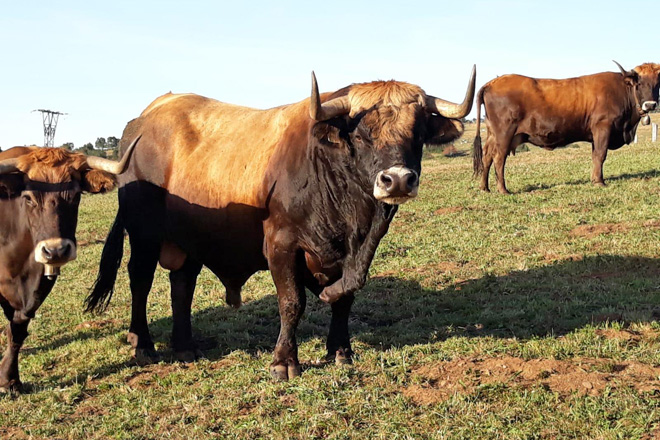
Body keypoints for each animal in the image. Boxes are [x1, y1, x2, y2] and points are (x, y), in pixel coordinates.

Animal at [0, 139, 138, 393]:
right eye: (28, 197)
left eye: (75, 195)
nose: (55, 250)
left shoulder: (39, 287)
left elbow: (17, 330)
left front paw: (10, 380)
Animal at [85, 67, 476, 380]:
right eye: (362, 134)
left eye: (418, 132)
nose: (397, 180)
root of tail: (144, 118)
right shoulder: (281, 245)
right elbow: (292, 302)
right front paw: (284, 361)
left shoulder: (350, 254)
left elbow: (345, 296)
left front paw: (340, 349)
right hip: (144, 232)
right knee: (140, 279)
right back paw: (143, 344)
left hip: (190, 239)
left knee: (182, 282)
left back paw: (184, 346)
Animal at [473, 61, 660, 194]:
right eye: (639, 84)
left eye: (657, 84)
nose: (650, 105)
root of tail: (493, 82)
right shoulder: (603, 128)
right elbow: (600, 155)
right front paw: (600, 182)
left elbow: (595, 156)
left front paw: (594, 179)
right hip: (504, 134)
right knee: (499, 158)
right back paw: (503, 189)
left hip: (493, 134)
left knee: (487, 156)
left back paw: (485, 187)